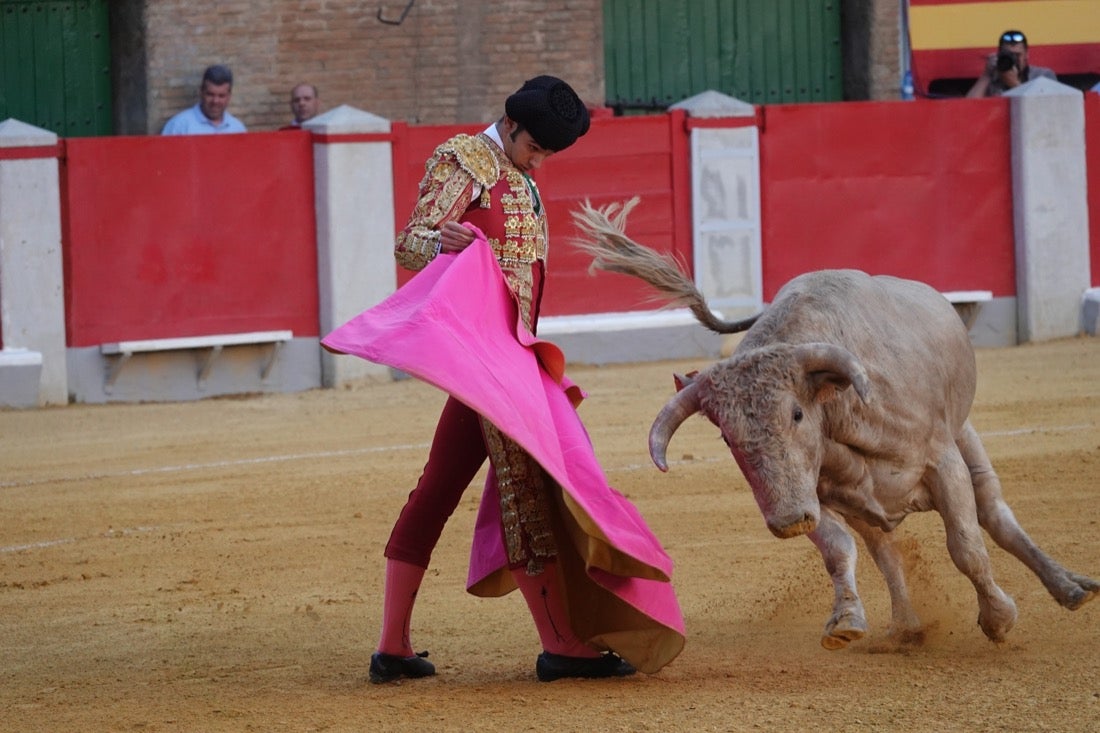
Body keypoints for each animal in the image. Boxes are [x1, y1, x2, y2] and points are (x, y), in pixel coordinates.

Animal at [572, 198, 1095, 647]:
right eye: (727, 436)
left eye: (796, 413)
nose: (785, 523)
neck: (838, 411)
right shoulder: (812, 496)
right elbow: (839, 548)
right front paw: (845, 622)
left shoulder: (941, 461)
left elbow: (965, 544)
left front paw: (999, 618)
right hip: (863, 504)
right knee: (884, 547)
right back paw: (906, 626)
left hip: (964, 435)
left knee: (993, 512)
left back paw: (1071, 588)